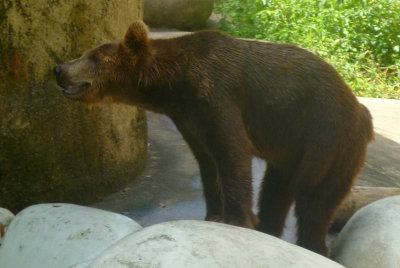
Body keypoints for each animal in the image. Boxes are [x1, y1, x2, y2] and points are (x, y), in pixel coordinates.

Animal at [53, 20, 372, 255]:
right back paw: (269, 227)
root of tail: (361, 112)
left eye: (94, 57)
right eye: (84, 53)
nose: (58, 69)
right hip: (290, 147)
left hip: (329, 138)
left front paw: (236, 219)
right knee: (276, 190)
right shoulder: (189, 118)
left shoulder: (217, 96)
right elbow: (207, 163)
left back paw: (312, 244)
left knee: (315, 199)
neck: (174, 85)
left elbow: (232, 153)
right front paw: (213, 215)